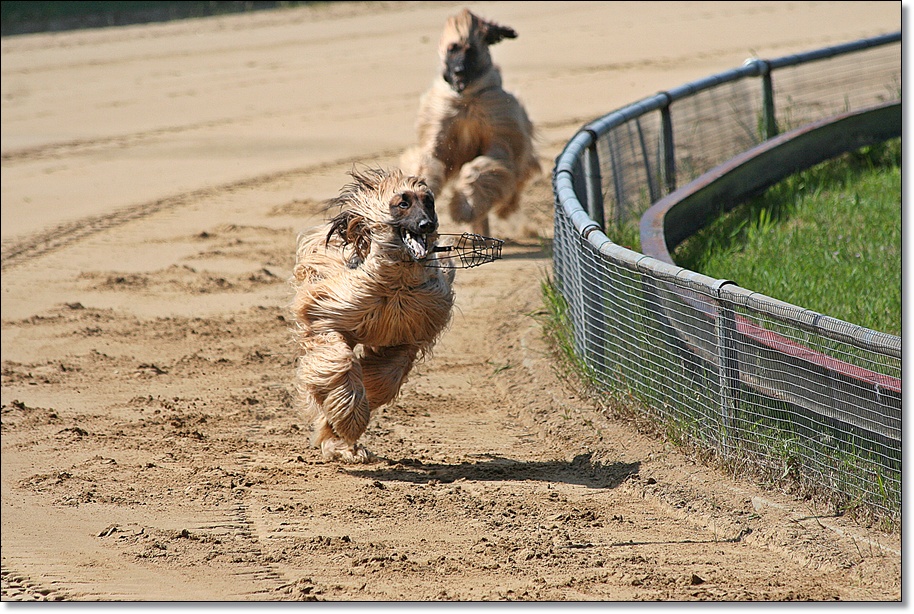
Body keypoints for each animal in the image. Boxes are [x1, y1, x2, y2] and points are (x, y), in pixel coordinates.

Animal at [288, 166, 452, 464]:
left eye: (429, 202)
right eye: (403, 203)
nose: (427, 225)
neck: (396, 285)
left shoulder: (408, 333)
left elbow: (384, 377)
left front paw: (338, 430)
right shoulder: (329, 313)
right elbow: (338, 361)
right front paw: (349, 421)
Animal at [400, 8, 540, 237]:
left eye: (471, 50)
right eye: (452, 48)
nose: (458, 71)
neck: (466, 99)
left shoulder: (499, 135)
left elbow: (481, 168)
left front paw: (465, 205)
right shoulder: (440, 132)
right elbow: (427, 160)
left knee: (511, 187)